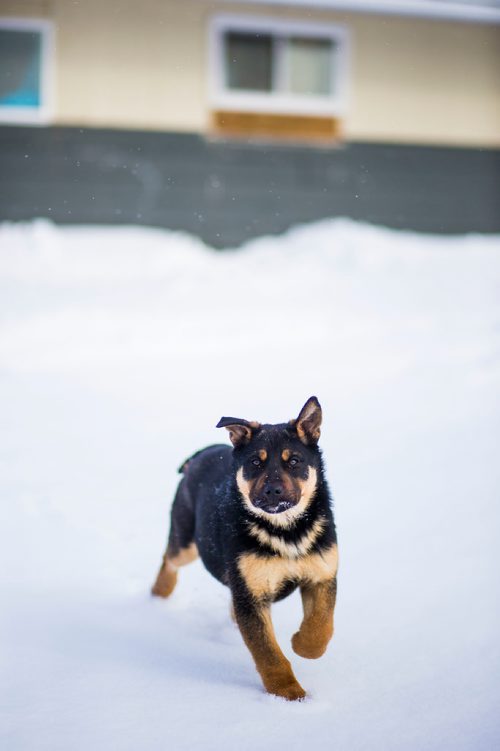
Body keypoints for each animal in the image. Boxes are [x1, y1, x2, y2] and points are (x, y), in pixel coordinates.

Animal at [151, 396, 340, 704]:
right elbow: (268, 652)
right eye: (255, 463)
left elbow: (322, 623)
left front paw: (302, 645)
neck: (285, 531)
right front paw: (289, 694)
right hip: (187, 543)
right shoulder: (251, 595)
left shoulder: (322, 574)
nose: (273, 491)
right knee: (169, 557)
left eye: (294, 461)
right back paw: (159, 595)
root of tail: (202, 454)